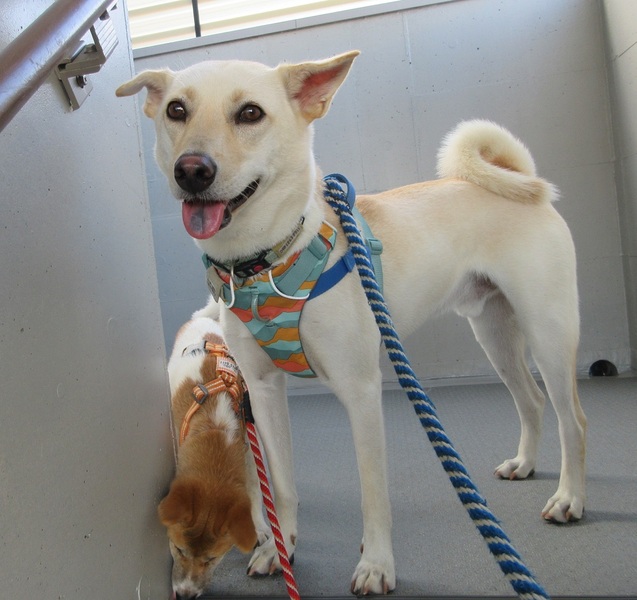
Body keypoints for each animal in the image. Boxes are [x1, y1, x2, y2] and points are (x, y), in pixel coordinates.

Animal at [160, 314, 269, 599]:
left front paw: (260, 527)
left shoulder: (247, 451)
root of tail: (202, 319)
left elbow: (254, 493)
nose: (185, 595)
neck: (215, 430)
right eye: (178, 549)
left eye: (212, 559)